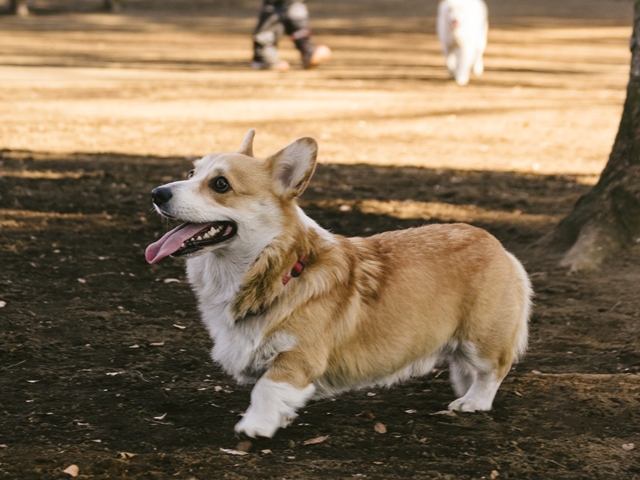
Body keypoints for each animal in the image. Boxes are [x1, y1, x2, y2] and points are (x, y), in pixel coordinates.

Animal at [145, 131, 528, 438]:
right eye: (192, 173)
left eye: (220, 184)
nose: (156, 193)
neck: (278, 271)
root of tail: (496, 244)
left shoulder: (298, 357)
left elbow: (266, 389)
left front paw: (254, 427)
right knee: (464, 368)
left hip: (481, 338)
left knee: (494, 369)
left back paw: (473, 402)